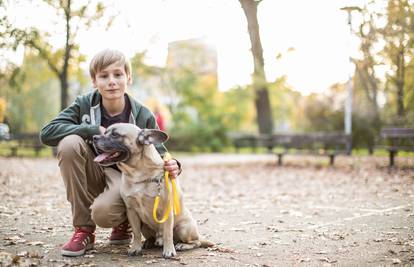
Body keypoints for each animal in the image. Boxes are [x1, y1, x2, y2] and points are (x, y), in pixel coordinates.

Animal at [92, 124, 212, 260]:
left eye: (115, 134)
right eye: (105, 132)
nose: (94, 137)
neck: (137, 174)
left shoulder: (166, 210)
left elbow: (168, 233)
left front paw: (169, 250)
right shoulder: (131, 211)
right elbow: (136, 233)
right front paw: (135, 248)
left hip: (183, 228)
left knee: (195, 242)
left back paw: (182, 245)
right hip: (145, 226)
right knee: (151, 237)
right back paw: (148, 243)